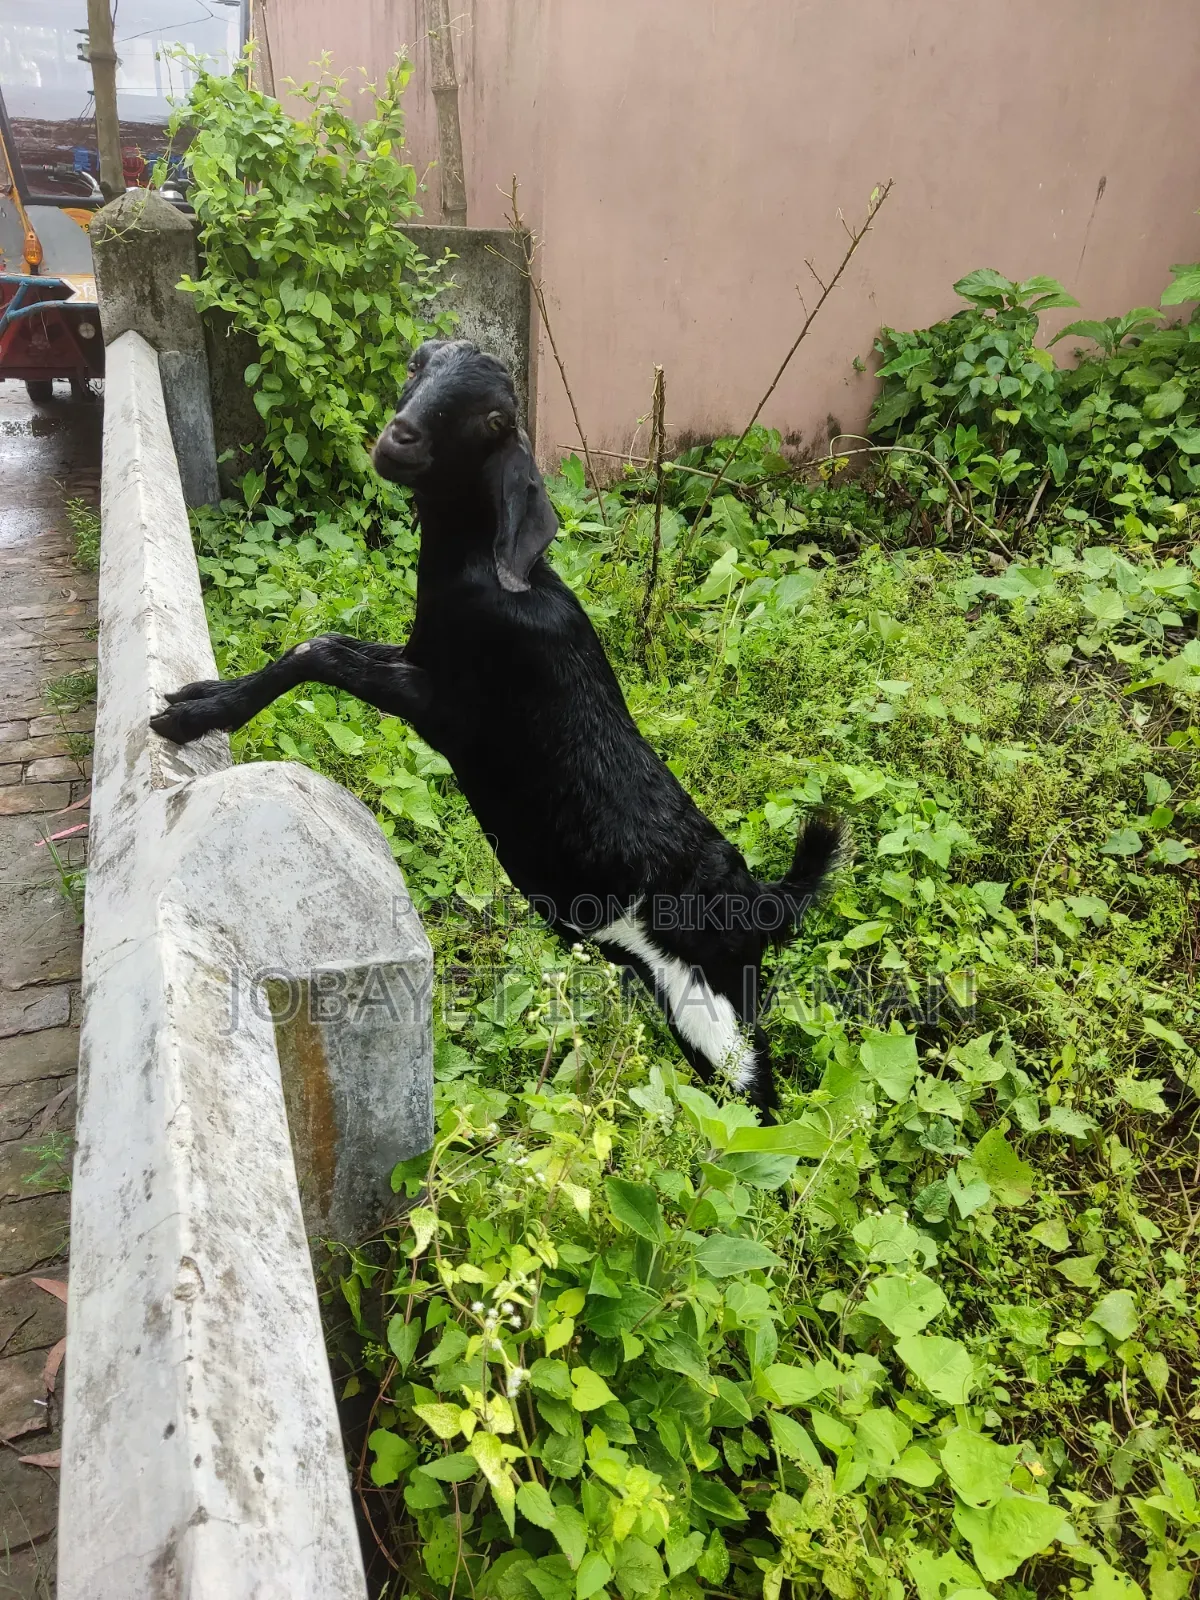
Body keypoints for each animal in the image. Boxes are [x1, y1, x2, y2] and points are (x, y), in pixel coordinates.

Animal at [151, 339, 844, 1115]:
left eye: (492, 420)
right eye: (418, 363)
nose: (399, 437)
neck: (486, 578)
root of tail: (760, 901)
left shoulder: (447, 707)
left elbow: (317, 650)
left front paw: (189, 719)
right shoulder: (415, 657)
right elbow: (325, 643)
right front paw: (203, 693)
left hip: (709, 1005)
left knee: (754, 1086)